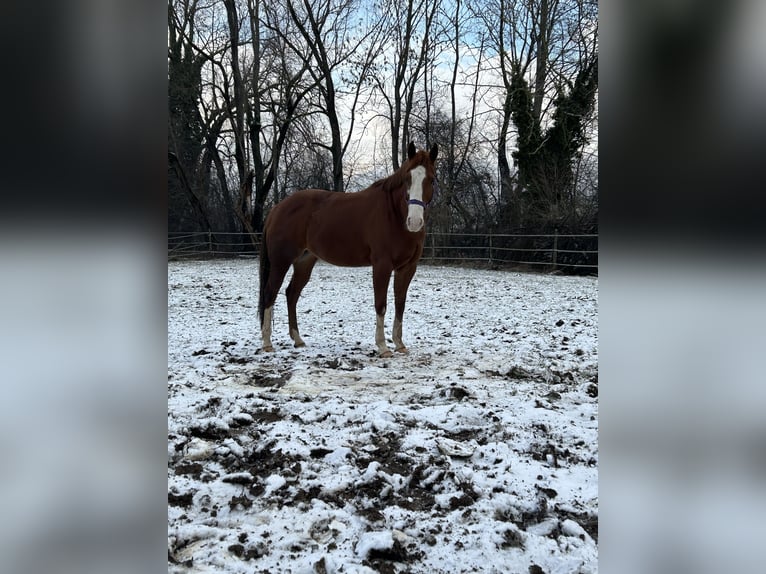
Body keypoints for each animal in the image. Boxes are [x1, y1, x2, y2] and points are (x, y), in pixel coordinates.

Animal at [258, 143, 438, 358]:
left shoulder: (408, 268)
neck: (393, 214)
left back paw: (298, 340)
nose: (415, 222)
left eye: (432, 179)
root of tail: (277, 209)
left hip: (304, 262)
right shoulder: (382, 266)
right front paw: (383, 346)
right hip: (281, 262)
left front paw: (399, 344)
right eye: (407, 179)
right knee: (270, 293)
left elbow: (400, 304)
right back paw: (267, 343)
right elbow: (381, 304)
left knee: (291, 294)